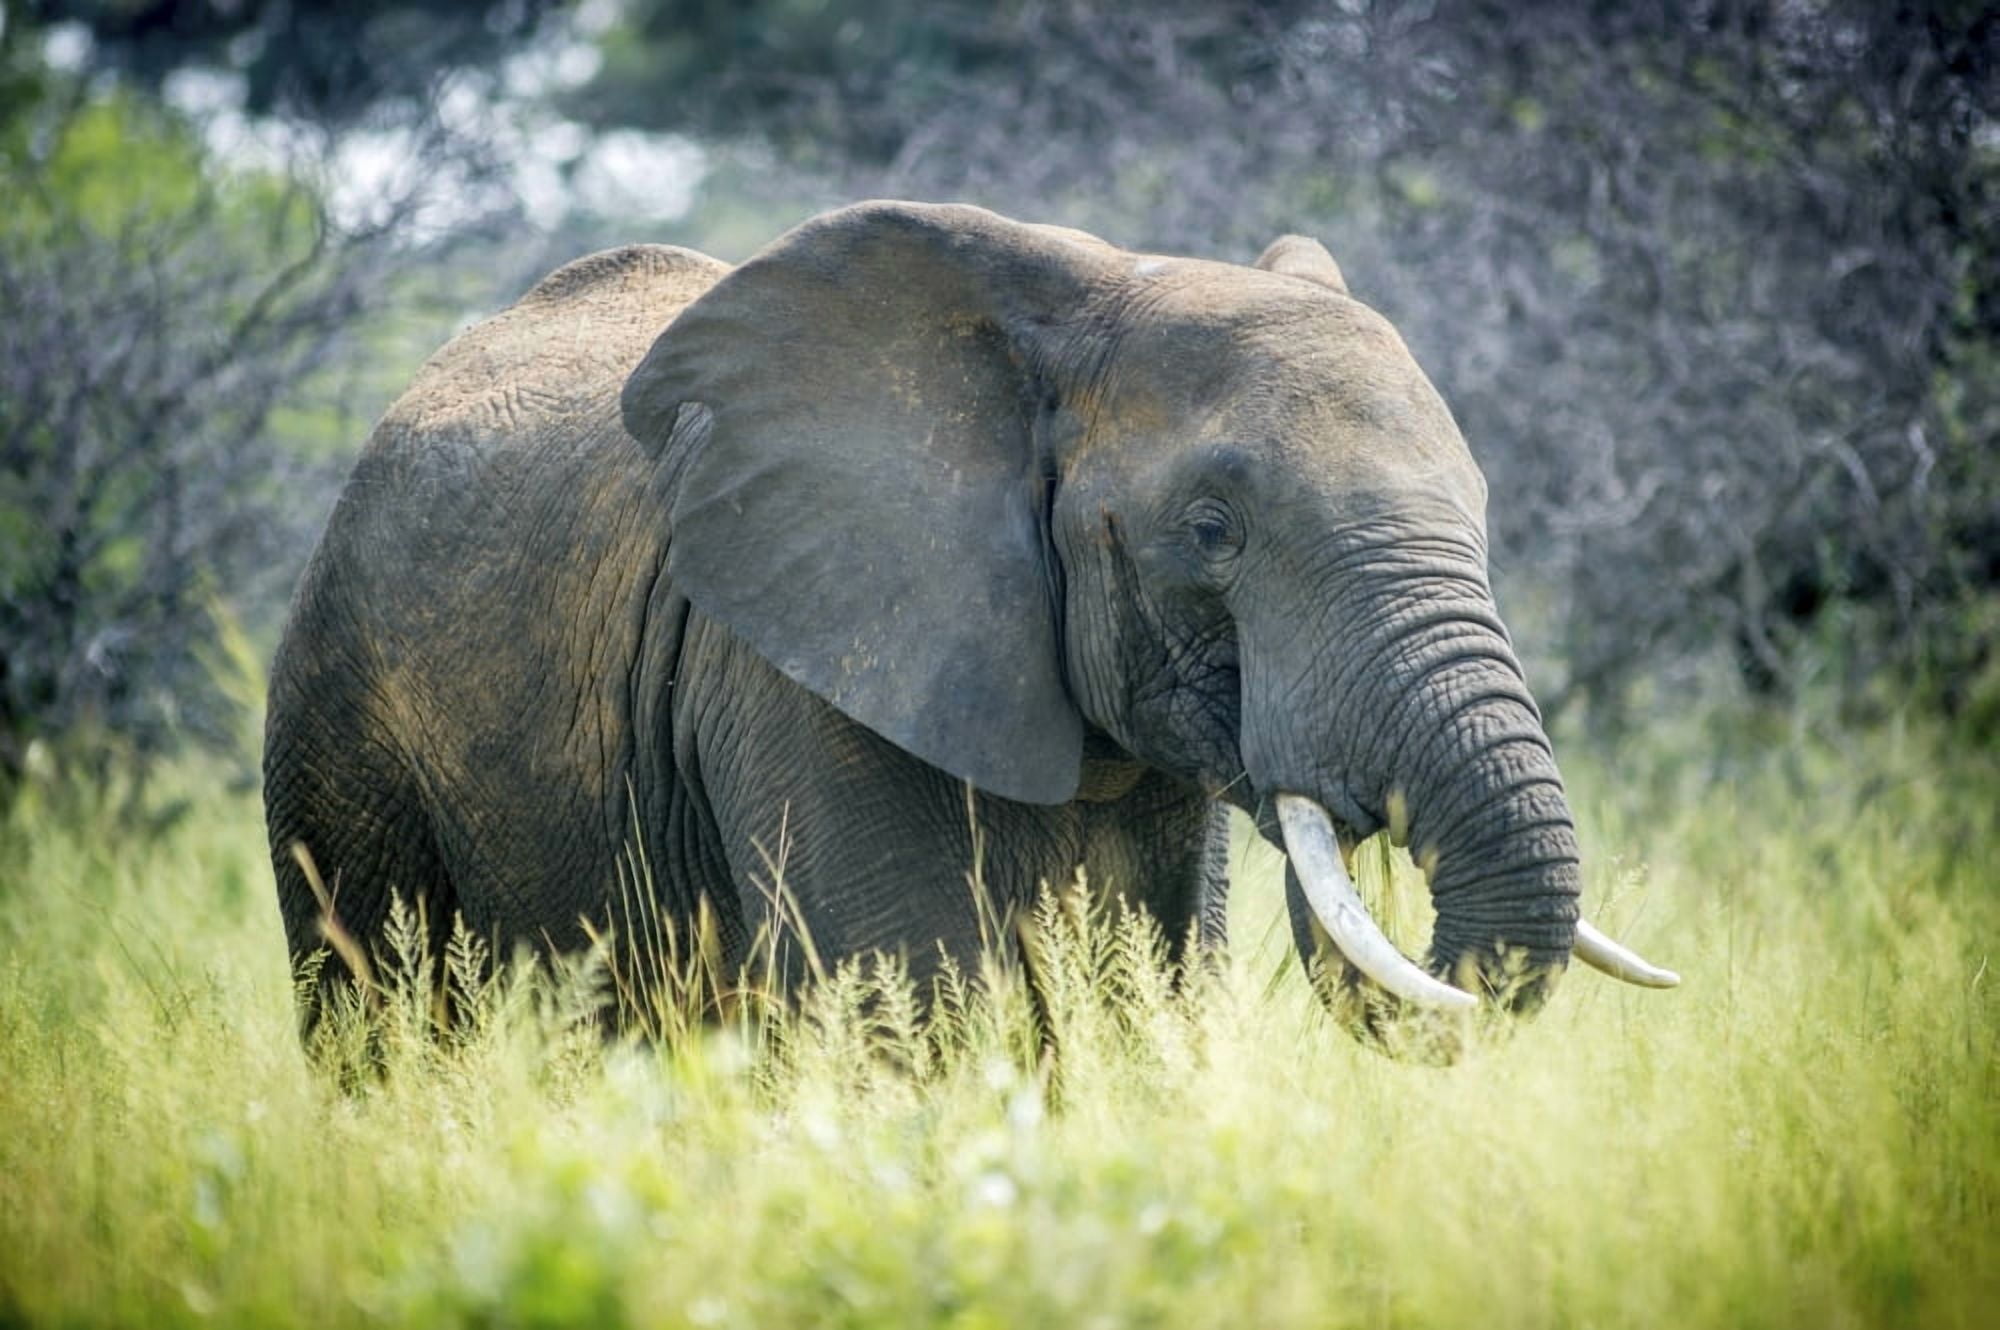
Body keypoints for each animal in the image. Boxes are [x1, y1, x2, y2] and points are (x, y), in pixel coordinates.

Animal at [263, 200, 1675, 1058]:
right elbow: (918, 1000)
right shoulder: (802, 657)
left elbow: (1143, 991)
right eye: (1210, 529)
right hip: (337, 709)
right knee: (375, 1005)